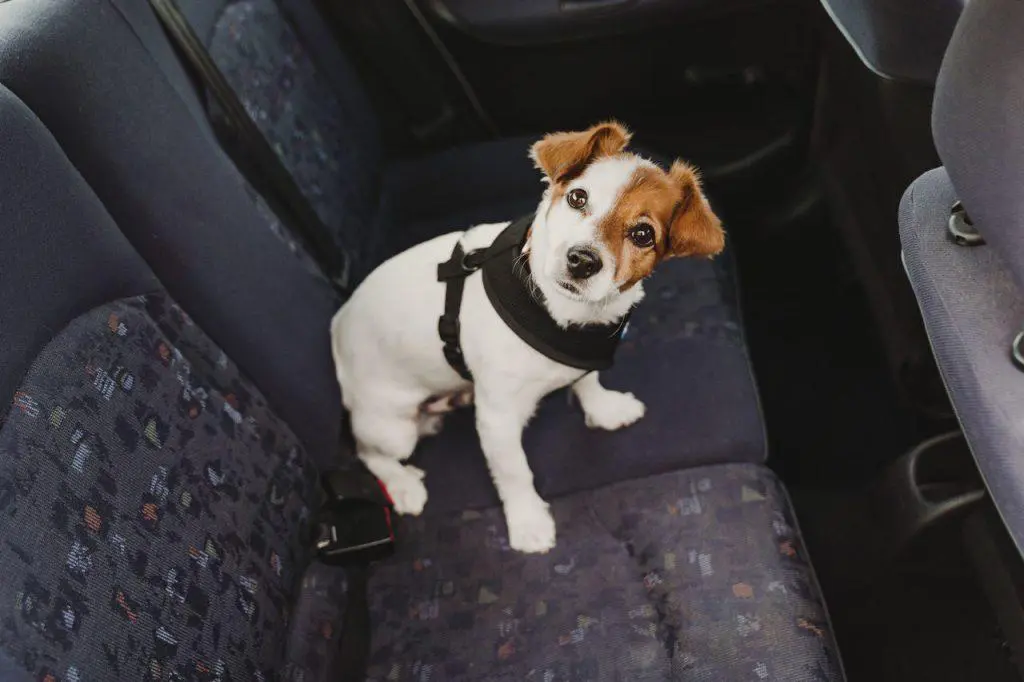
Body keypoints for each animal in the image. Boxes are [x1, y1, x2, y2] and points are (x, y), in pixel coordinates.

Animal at [331, 119, 724, 548]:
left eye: (642, 234)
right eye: (578, 197)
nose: (581, 260)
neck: (559, 313)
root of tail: (337, 327)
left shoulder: (582, 355)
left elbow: (587, 381)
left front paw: (604, 409)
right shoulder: (497, 420)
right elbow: (515, 473)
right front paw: (528, 522)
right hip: (391, 427)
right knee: (368, 452)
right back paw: (403, 484)